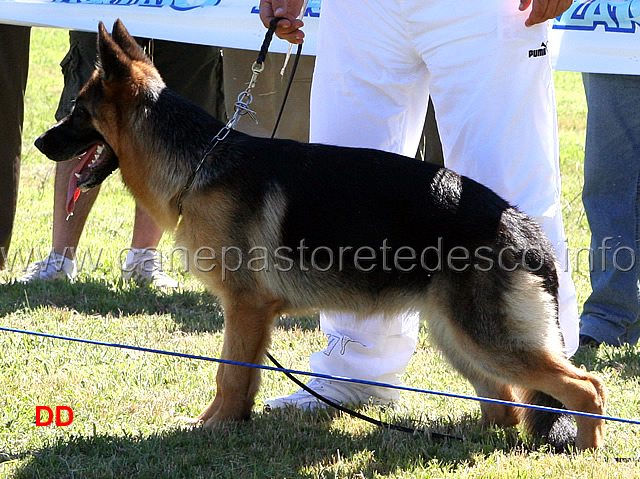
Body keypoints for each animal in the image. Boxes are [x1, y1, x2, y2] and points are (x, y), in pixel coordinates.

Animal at [33, 20, 604, 452]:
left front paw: (215, 427)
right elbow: (237, 375)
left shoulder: (245, 307)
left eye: (79, 112)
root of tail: (526, 228)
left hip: (487, 337)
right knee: (505, 401)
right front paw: (225, 422)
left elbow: (229, 372)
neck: (201, 162)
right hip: (459, 336)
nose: (39, 140)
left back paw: (586, 450)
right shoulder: (250, 313)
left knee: (586, 387)